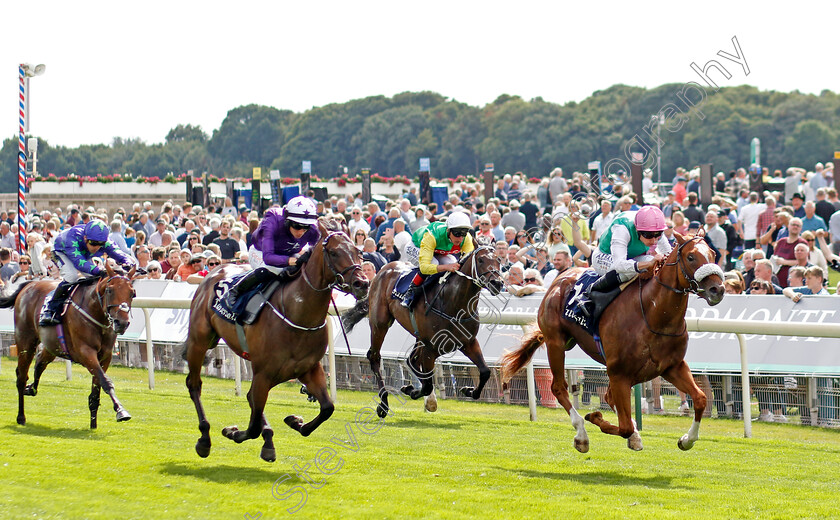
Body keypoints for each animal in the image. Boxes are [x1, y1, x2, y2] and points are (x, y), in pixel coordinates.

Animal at [0, 264, 136, 430]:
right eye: (110, 290)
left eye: (132, 293)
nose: (121, 323)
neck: (94, 311)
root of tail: (29, 284)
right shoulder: (85, 352)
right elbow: (106, 381)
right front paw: (121, 411)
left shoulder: (105, 357)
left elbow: (95, 392)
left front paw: (93, 424)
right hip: (26, 342)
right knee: (21, 377)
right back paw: (21, 417)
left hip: (52, 346)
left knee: (39, 363)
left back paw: (31, 388)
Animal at [185, 217, 370, 462]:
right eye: (333, 252)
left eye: (359, 252)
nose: (362, 283)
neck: (298, 313)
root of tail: (213, 272)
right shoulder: (263, 372)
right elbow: (253, 425)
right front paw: (233, 432)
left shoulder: (308, 368)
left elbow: (327, 408)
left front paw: (295, 421)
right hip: (199, 342)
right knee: (195, 384)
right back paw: (205, 438)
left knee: (250, 397)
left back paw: (268, 438)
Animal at [342, 245, 506, 418]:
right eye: (480, 260)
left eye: (498, 259)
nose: (497, 283)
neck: (454, 303)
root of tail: (384, 269)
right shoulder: (430, 348)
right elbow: (427, 385)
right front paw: (413, 391)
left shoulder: (469, 342)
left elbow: (485, 371)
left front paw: (468, 391)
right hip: (380, 323)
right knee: (374, 356)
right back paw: (383, 404)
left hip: (417, 334)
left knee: (411, 360)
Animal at [502, 235, 724, 450]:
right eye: (691, 257)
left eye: (713, 255)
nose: (718, 289)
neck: (653, 315)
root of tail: (560, 278)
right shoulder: (619, 373)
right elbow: (624, 427)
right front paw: (596, 417)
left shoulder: (671, 366)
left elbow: (701, 399)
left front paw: (686, 440)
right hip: (556, 343)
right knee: (558, 387)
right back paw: (581, 434)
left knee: (607, 396)